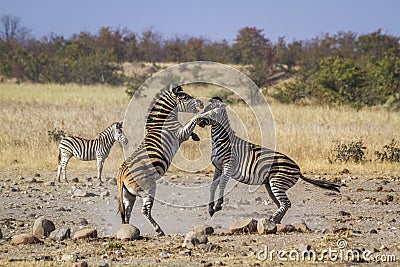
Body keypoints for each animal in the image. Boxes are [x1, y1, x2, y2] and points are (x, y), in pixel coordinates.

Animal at [115, 84, 205, 237]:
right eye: (185, 97)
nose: (201, 103)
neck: (163, 120)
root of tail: (121, 173)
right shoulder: (180, 133)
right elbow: (191, 121)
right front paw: (202, 116)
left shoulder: (181, 132)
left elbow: (189, 126)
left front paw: (196, 136)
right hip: (148, 189)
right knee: (145, 211)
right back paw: (159, 230)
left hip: (128, 195)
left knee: (127, 213)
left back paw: (128, 230)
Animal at [198, 98, 340, 224]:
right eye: (206, 109)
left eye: (212, 111)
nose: (199, 119)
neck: (223, 140)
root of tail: (298, 169)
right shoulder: (218, 167)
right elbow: (213, 186)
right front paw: (210, 209)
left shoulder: (228, 165)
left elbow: (222, 184)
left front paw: (218, 206)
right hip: (272, 185)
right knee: (283, 204)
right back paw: (275, 220)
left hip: (277, 183)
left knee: (286, 203)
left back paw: (273, 219)